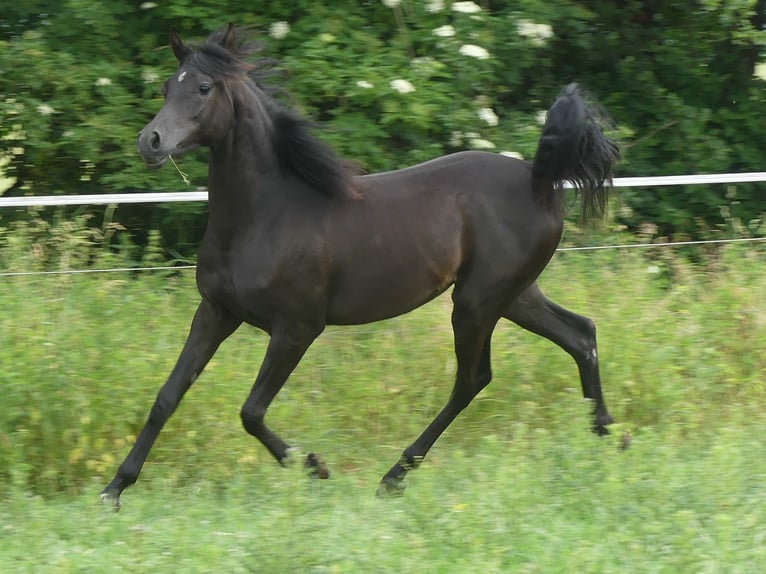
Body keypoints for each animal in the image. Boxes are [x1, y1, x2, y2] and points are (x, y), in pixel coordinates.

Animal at [102, 24, 620, 508]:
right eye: (167, 87)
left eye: (204, 88)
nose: (150, 142)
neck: (267, 213)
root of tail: (541, 180)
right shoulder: (215, 312)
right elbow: (167, 396)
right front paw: (114, 489)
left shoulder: (297, 329)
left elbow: (251, 412)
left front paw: (315, 467)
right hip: (513, 296)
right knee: (581, 334)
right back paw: (608, 437)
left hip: (476, 302)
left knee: (472, 380)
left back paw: (393, 476)